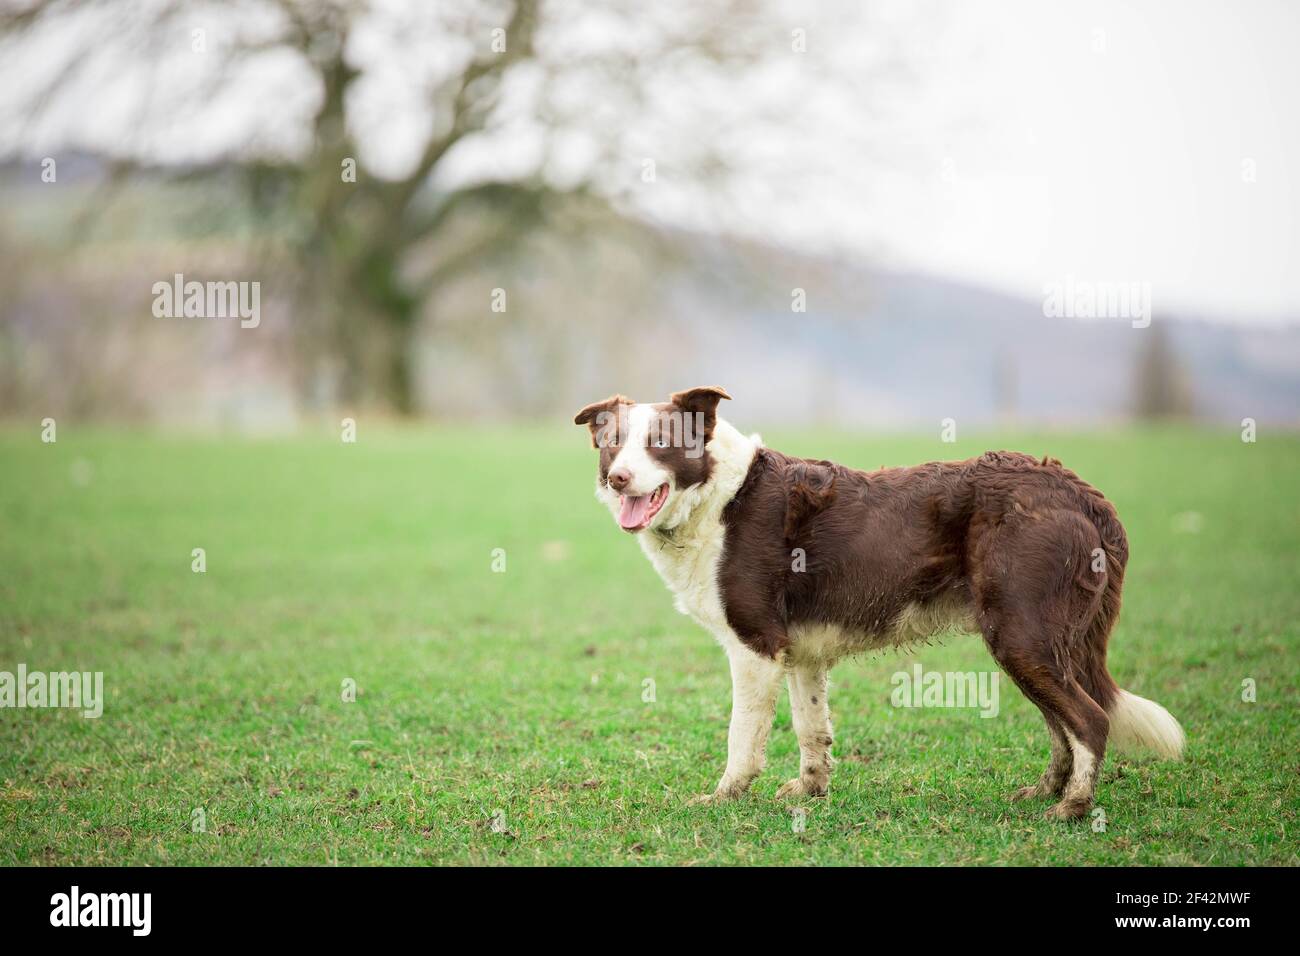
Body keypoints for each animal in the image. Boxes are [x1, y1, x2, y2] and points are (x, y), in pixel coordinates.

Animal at [574, 390, 1185, 822]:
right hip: (1034, 641)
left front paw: (724, 798)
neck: (719, 498)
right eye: (613, 444)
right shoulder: (801, 655)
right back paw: (1043, 792)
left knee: (1089, 719)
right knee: (1062, 726)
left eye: (660, 441)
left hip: (1021, 635)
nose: (618, 478)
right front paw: (811, 792)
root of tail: (1078, 489)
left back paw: (1073, 808)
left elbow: (741, 740)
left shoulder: (754, 649)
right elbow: (812, 731)